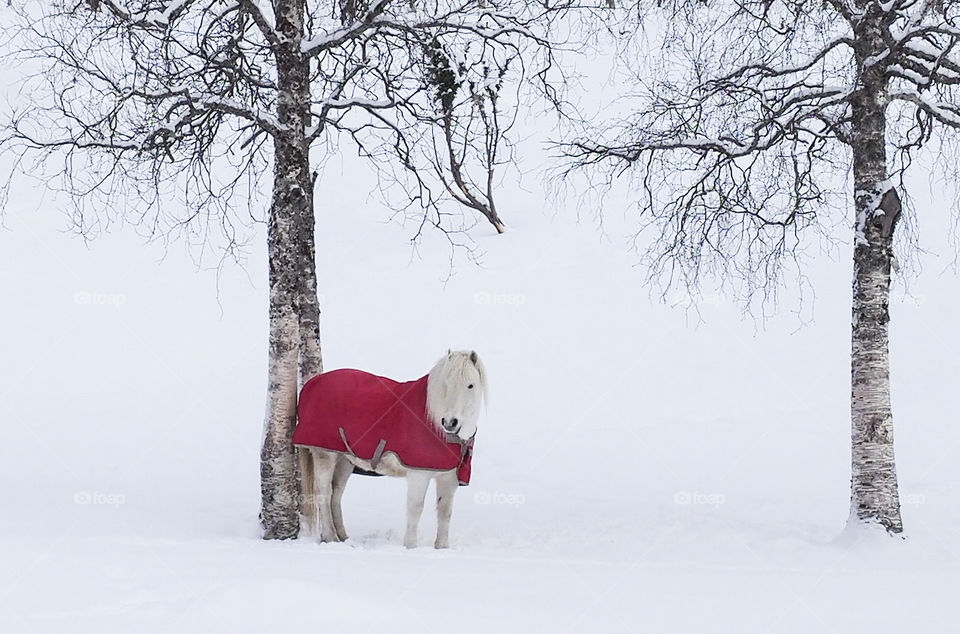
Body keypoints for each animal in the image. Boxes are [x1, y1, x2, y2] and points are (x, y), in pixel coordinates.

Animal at [294, 350, 487, 549]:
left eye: (470, 385)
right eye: (445, 383)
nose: (450, 423)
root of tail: (312, 383)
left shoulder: (448, 478)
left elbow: (445, 511)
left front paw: (441, 547)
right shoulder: (419, 474)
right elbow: (415, 508)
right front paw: (410, 546)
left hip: (345, 459)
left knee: (336, 493)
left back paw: (343, 537)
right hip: (325, 455)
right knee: (324, 493)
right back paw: (330, 536)